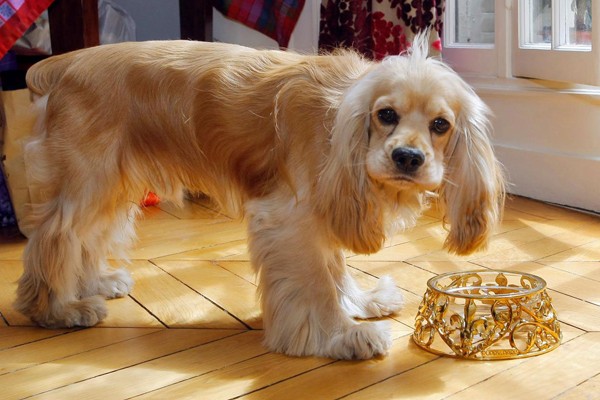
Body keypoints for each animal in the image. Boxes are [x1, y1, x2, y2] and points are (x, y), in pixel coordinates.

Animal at [12, 33, 502, 360]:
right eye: (386, 115)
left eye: (440, 125)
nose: (407, 157)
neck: (343, 119)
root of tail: (59, 65)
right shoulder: (289, 218)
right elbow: (318, 282)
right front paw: (340, 335)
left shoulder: (323, 212)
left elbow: (336, 270)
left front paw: (360, 304)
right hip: (87, 181)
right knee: (53, 241)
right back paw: (58, 310)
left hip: (110, 185)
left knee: (84, 240)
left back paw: (93, 284)